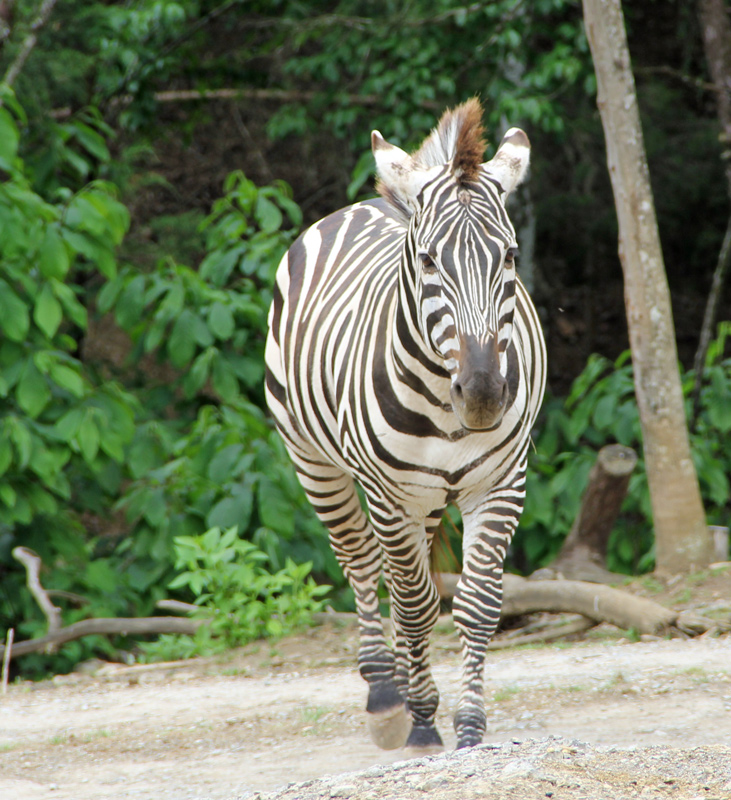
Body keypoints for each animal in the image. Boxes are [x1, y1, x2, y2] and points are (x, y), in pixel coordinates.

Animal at [264, 98, 544, 752]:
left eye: (510, 257)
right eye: (428, 260)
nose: (484, 396)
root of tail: (371, 203)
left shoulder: (502, 482)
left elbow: (477, 604)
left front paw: (469, 729)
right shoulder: (388, 494)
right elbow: (414, 605)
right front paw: (418, 724)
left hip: (426, 497)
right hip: (316, 463)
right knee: (363, 562)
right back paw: (384, 694)